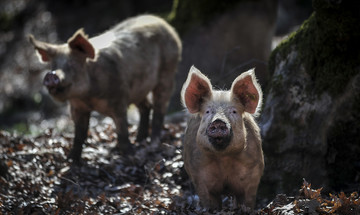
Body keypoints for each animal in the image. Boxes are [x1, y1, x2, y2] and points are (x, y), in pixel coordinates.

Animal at [28, 14, 181, 163]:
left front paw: (129, 155)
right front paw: (70, 160)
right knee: (146, 107)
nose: (51, 74)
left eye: (72, 63)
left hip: (168, 74)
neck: (88, 97)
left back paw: (153, 143)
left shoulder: (119, 100)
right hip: (139, 88)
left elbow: (122, 132)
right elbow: (79, 135)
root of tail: (165, 24)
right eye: (53, 65)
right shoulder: (77, 107)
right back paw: (139, 140)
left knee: (159, 108)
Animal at [181, 66, 262, 210]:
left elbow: (247, 201)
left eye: (233, 111)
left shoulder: (253, 174)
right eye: (208, 111)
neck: (223, 158)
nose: (218, 121)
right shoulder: (199, 176)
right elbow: (209, 202)